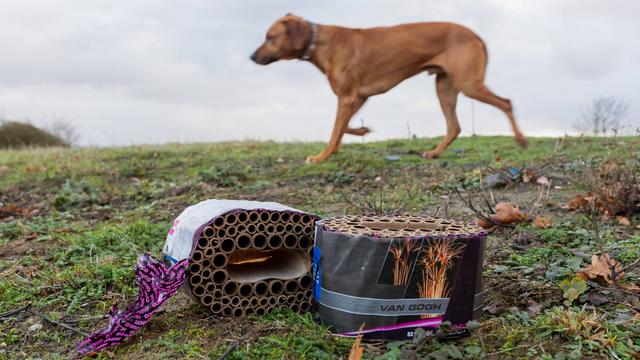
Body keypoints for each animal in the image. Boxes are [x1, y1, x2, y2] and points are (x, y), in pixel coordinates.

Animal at [250, 13, 524, 163]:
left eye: (269, 37)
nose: (252, 57)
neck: (321, 44)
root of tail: (476, 36)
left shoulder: (347, 97)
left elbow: (334, 129)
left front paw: (321, 156)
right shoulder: (357, 97)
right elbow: (341, 128)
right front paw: (361, 131)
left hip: (468, 84)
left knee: (506, 103)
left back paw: (521, 140)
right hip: (444, 87)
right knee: (454, 126)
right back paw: (435, 152)